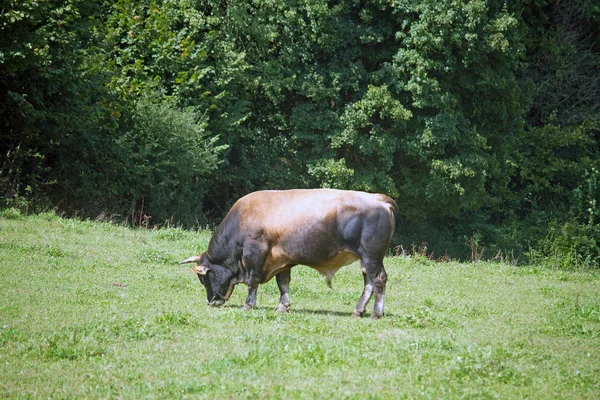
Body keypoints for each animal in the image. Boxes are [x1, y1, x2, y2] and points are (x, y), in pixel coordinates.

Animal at [183, 188, 398, 318]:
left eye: (205, 279)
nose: (211, 301)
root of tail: (379, 199)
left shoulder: (254, 254)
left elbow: (253, 282)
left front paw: (248, 304)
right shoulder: (281, 259)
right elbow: (283, 283)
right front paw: (283, 306)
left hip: (371, 256)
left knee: (378, 280)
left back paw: (376, 313)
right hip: (368, 259)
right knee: (369, 283)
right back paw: (358, 310)